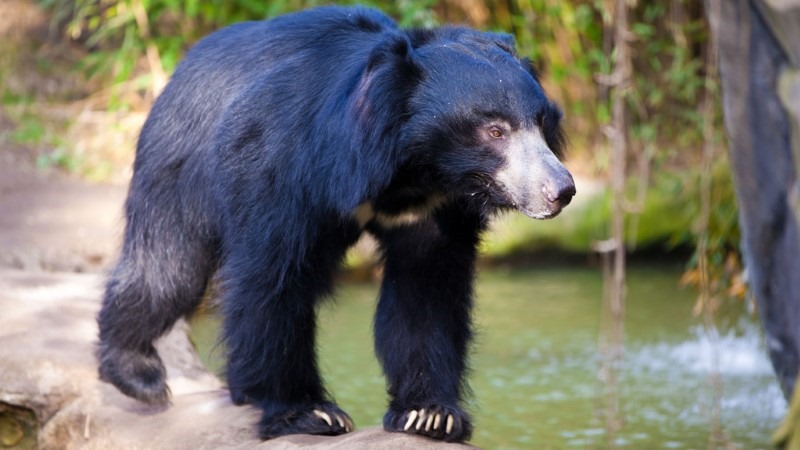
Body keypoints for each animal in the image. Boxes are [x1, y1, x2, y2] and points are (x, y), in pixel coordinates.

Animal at [96, 5, 575, 443]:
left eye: (542, 123)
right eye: (495, 131)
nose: (561, 190)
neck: (411, 171)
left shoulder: (435, 207)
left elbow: (426, 291)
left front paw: (430, 414)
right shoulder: (285, 163)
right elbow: (272, 280)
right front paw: (307, 412)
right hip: (179, 158)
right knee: (168, 266)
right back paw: (137, 374)